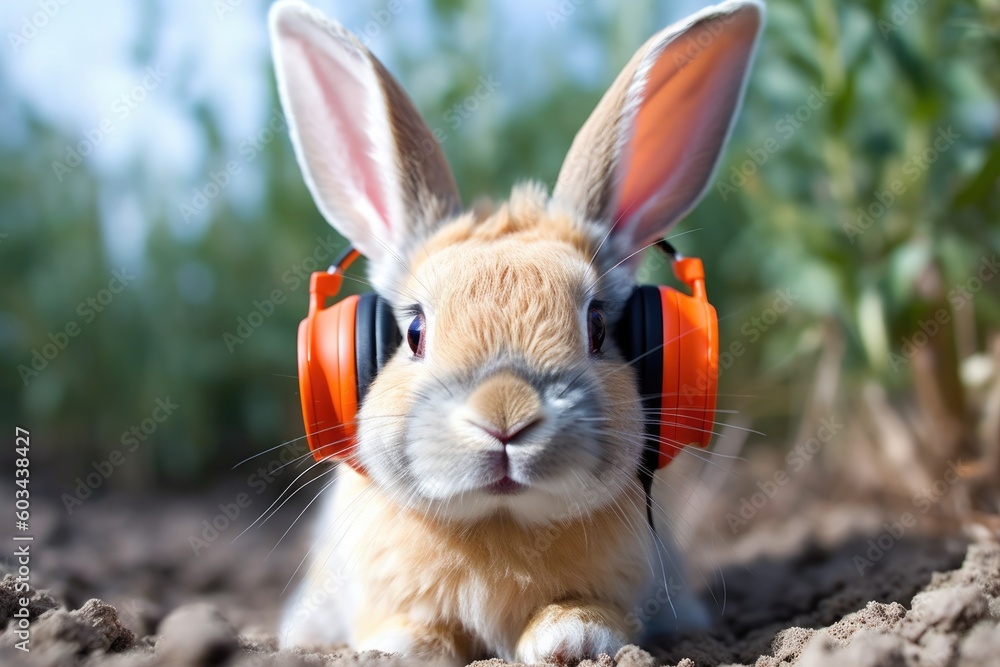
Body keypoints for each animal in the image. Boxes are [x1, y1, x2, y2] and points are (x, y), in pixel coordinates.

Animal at [270, 0, 760, 664]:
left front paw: (572, 637)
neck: (499, 520)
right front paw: (404, 645)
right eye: (415, 331)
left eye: (597, 326)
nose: (504, 418)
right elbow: (408, 625)